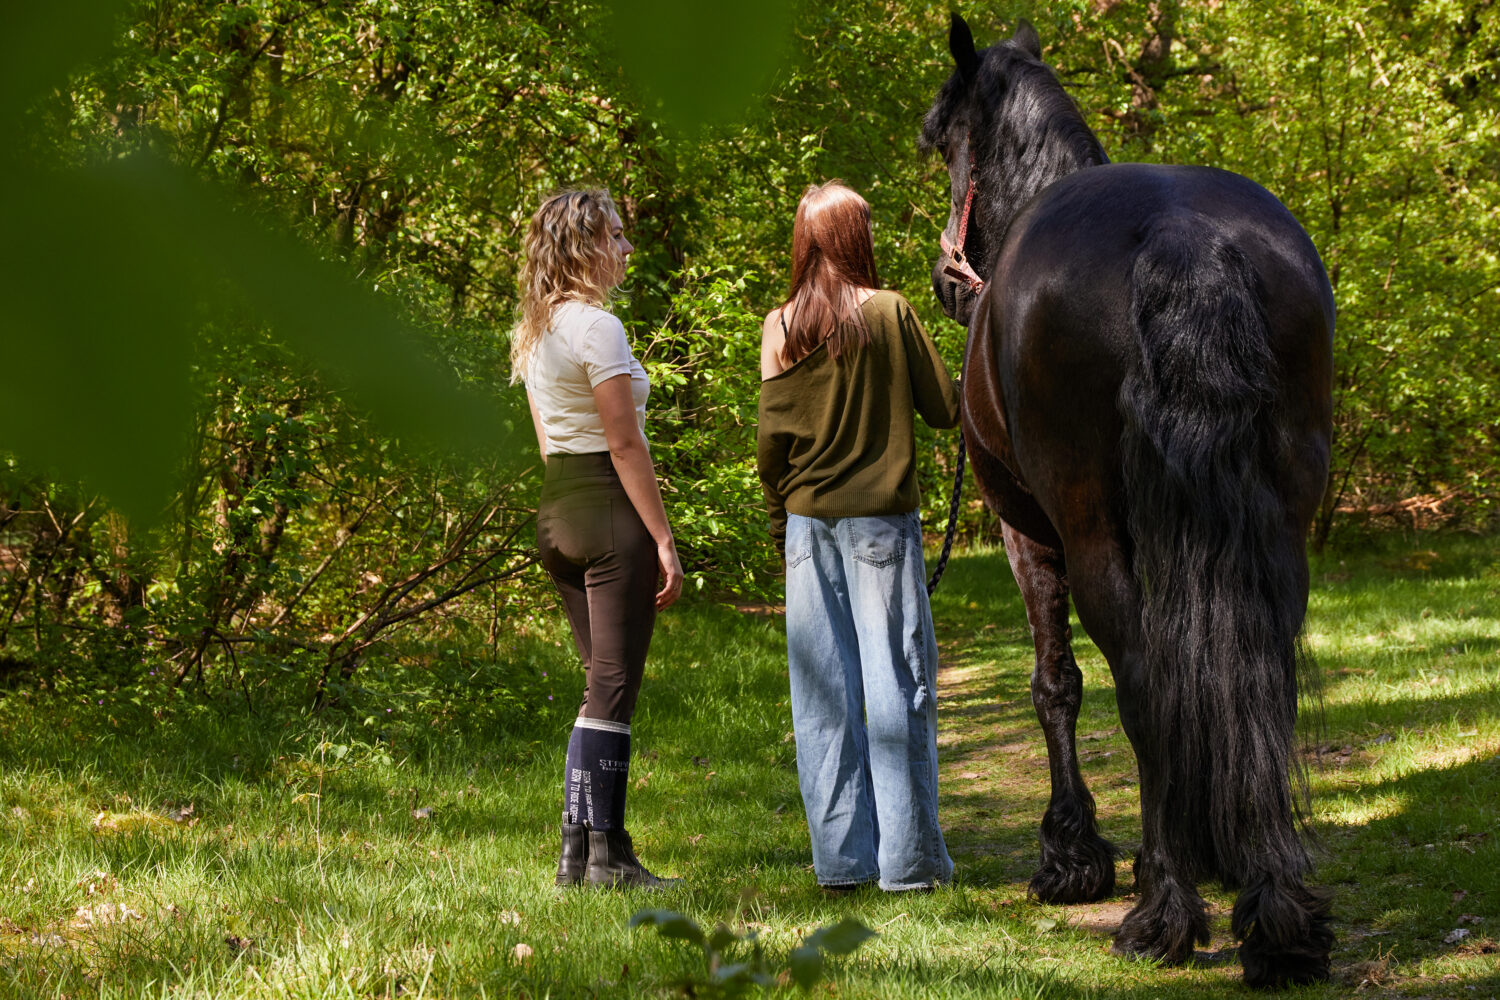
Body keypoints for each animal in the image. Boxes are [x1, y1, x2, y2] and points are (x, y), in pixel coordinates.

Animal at [922, 15, 1335, 987]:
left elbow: (1057, 685)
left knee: (1143, 682)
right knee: (1261, 670)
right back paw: (1274, 905)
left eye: (940, 142)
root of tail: (1183, 234)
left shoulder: (1029, 536)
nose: (949, 281)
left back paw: (1163, 909)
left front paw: (1072, 856)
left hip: (1091, 533)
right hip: (1280, 524)